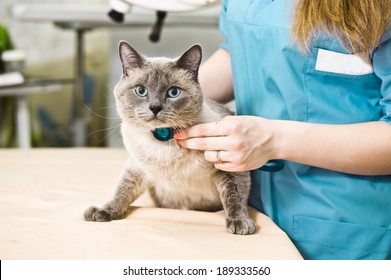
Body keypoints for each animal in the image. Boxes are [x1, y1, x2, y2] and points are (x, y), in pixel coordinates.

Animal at [85, 40, 258, 235]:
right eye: (141, 90)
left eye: (173, 92)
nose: (154, 107)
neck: (163, 143)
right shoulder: (137, 169)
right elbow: (121, 193)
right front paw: (102, 211)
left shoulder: (230, 167)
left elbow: (234, 197)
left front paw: (240, 223)